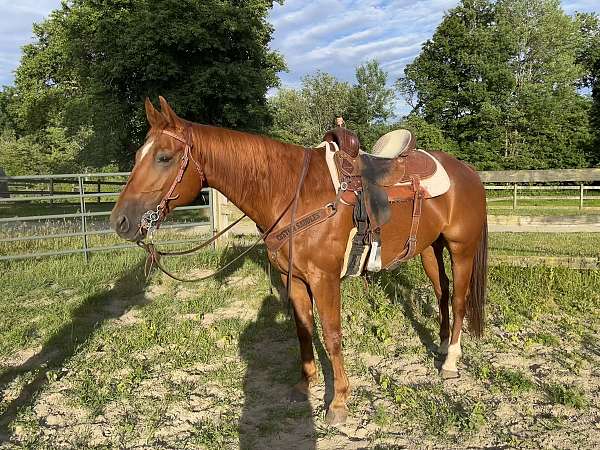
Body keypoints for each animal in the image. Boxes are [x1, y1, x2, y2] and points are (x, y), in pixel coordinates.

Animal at [111, 97, 488, 426]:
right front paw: (305, 385)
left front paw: (338, 403)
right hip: (429, 248)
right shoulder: (292, 278)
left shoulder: (324, 278)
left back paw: (450, 361)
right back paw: (441, 345)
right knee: (441, 292)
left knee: (458, 298)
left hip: (461, 249)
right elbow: (303, 328)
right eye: (138, 155)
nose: (120, 221)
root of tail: (468, 172)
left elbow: (332, 334)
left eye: (163, 157)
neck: (295, 192)